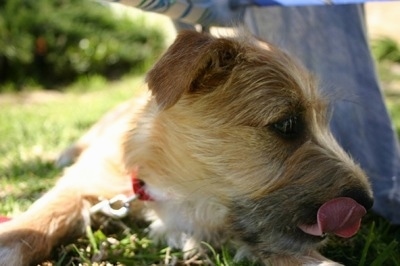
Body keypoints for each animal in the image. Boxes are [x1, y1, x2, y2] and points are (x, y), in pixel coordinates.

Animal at [0, 30, 376, 264]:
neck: (179, 191)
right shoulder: (88, 180)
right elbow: (42, 217)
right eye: (286, 124)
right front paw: (10, 240)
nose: (368, 204)